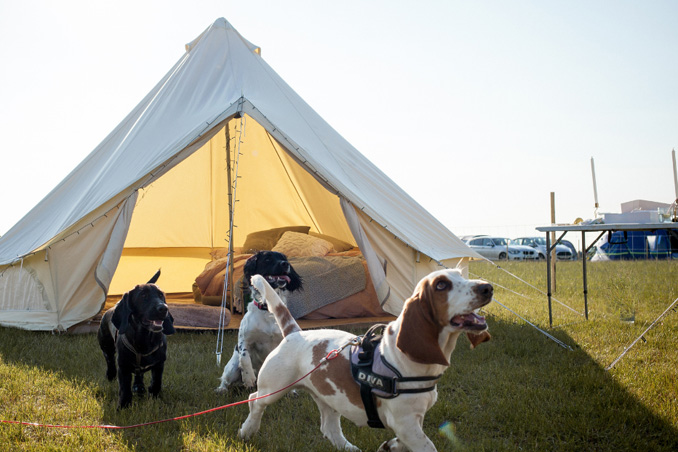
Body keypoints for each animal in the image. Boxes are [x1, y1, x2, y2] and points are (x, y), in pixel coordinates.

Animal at [99, 270, 178, 408]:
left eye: (161, 295)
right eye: (143, 295)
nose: (164, 308)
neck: (144, 339)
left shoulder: (159, 364)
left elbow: (156, 383)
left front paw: (154, 396)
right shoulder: (123, 367)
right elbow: (124, 388)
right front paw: (123, 406)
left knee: (138, 373)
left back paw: (138, 386)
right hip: (105, 345)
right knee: (109, 360)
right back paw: (111, 375)